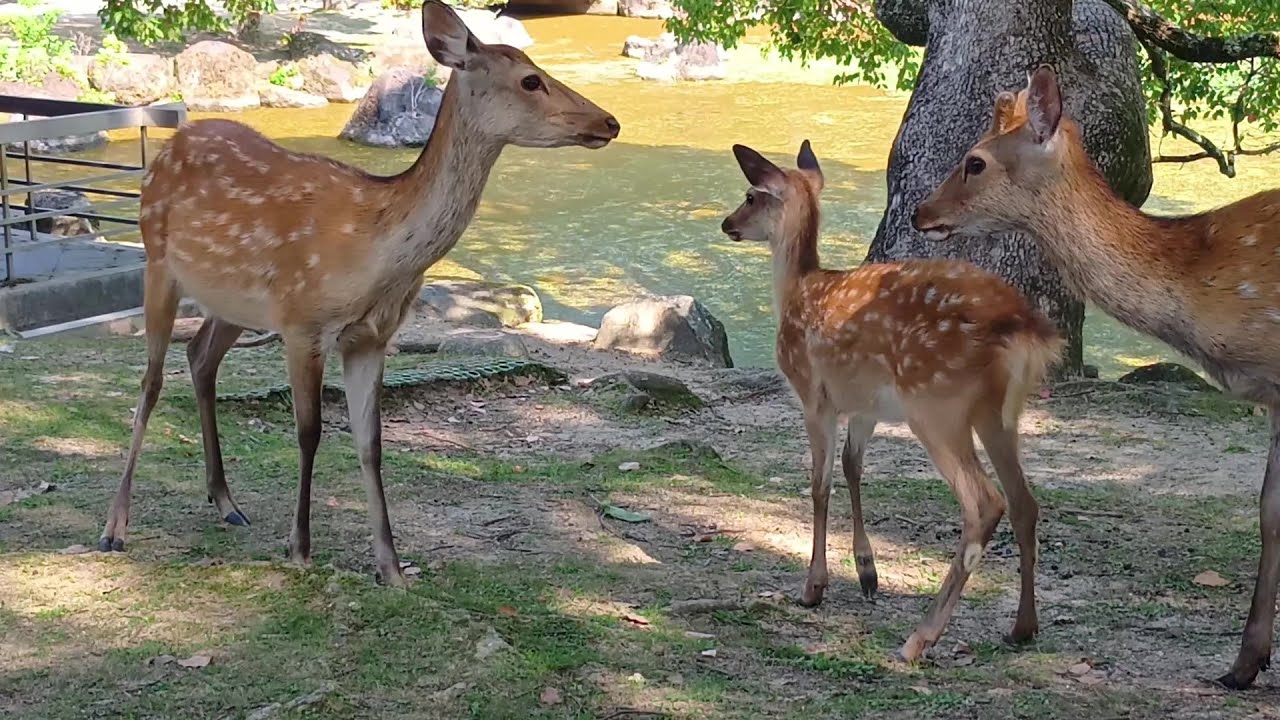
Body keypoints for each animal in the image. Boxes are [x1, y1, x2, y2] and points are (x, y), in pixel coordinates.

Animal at [96, 0, 620, 588]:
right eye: (531, 79)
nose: (609, 121)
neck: (377, 256)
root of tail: (167, 152)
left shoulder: (371, 336)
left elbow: (371, 443)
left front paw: (391, 567)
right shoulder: (303, 320)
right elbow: (309, 431)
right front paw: (300, 548)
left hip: (234, 302)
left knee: (200, 356)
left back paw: (226, 501)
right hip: (158, 262)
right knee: (150, 381)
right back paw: (115, 527)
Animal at [721, 139, 1063, 661]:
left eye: (751, 195)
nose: (728, 223)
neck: (797, 290)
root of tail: (1025, 329)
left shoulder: (813, 394)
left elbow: (819, 484)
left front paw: (813, 586)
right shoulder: (866, 407)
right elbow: (852, 467)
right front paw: (867, 572)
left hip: (936, 404)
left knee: (985, 503)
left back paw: (921, 638)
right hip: (1001, 413)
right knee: (1026, 501)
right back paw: (1023, 626)